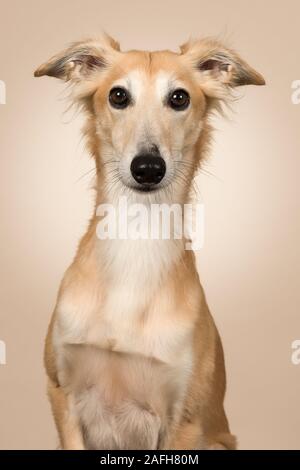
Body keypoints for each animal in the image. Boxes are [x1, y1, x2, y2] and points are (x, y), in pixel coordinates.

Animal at [35, 35, 264, 450]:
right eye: (118, 95)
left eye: (179, 98)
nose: (147, 168)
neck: (136, 240)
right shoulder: (62, 392)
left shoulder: (184, 419)